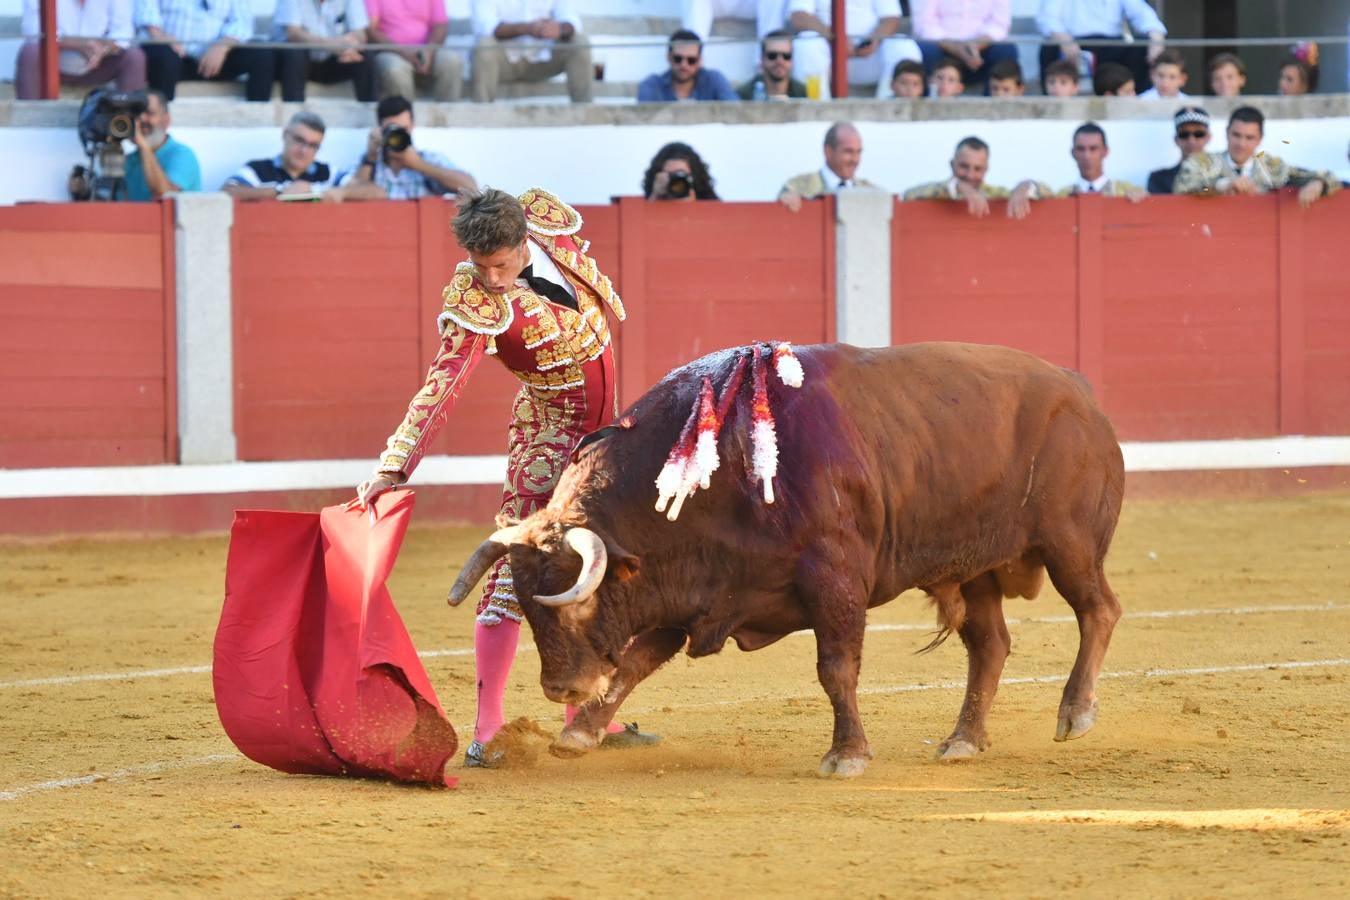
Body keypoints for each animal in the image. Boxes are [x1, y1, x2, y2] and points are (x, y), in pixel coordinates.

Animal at [448, 341, 1123, 777]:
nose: (559, 687)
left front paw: (847, 754)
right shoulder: (693, 592)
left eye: (578, 606)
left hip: (1069, 544)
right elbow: (634, 665)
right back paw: (963, 740)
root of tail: (1080, 389)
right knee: (990, 645)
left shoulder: (836, 581)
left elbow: (836, 668)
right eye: (531, 609)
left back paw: (1076, 713)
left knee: (1099, 610)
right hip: (973, 565)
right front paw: (580, 733)